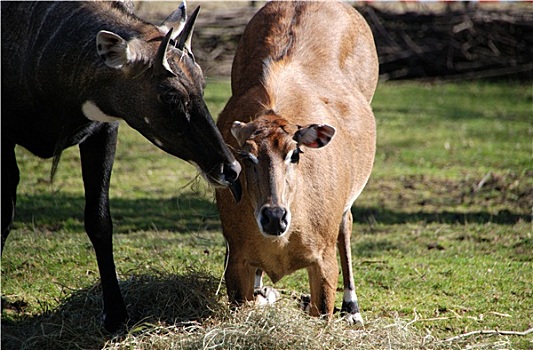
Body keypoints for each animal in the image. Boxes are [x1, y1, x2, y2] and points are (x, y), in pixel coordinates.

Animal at [0, 0, 241, 330]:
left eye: (202, 82)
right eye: (169, 95)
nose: (231, 169)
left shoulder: (104, 128)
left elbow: (99, 220)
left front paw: (115, 316)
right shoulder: (2, 139)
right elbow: (4, 216)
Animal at [214, 1, 376, 326]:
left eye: (295, 153)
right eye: (246, 156)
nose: (274, 217)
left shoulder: (323, 262)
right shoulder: (236, 259)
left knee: (346, 226)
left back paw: (352, 307)